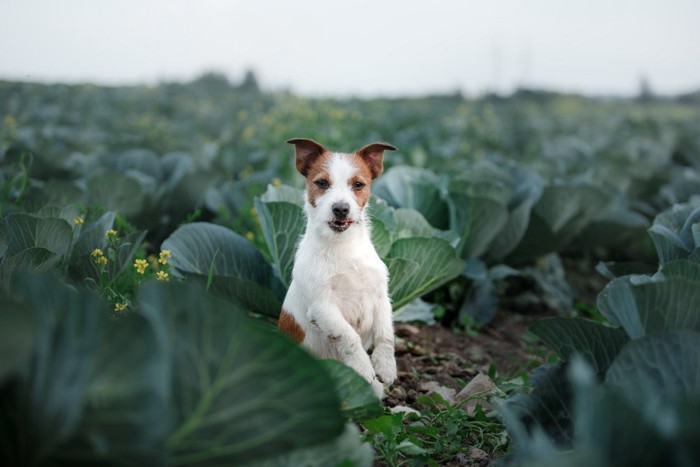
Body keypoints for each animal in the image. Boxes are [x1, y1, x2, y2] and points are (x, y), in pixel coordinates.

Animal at [278, 137, 400, 396]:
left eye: (358, 184)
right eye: (322, 183)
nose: (341, 209)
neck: (343, 247)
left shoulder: (381, 298)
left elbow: (386, 334)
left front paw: (385, 365)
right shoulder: (323, 307)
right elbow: (349, 337)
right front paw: (363, 366)